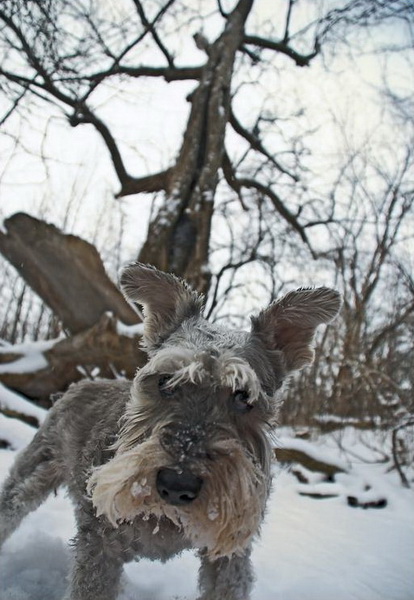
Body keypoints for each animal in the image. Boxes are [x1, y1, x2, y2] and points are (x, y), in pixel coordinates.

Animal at [0, 264, 342, 600]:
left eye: (243, 396)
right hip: (30, 477)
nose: (177, 485)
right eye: (165, 381)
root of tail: (78, 385)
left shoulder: (229, 556)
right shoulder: (99, 546)